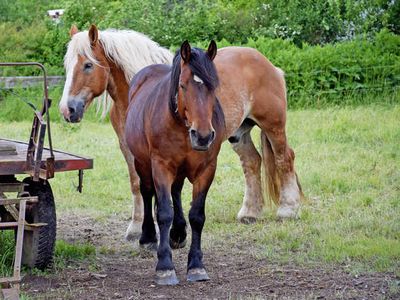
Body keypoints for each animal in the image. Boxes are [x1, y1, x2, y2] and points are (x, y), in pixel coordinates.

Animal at [59, 25, 302, 241]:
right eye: (67, 66)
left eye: (88, 65)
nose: (67, 109)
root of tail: (269, 65)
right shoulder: (130, 150)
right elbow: (137, 184)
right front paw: (137, 229)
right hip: (239, 132)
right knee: (252, 162)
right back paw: (250, 213)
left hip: (273, 125)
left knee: (284, 158)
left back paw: (288, 210)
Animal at [125, 41, 223, 284]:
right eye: (182, 85)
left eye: (213, 86)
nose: (203, 136)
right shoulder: (160, 166)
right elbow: (164, 213)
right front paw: (165, 266)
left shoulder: (207, 169)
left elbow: (197, 216)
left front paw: (196, 265)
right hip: (142, 163)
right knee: (147, 192)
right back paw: (149, 237)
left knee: (176, 191)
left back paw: (178, 233)